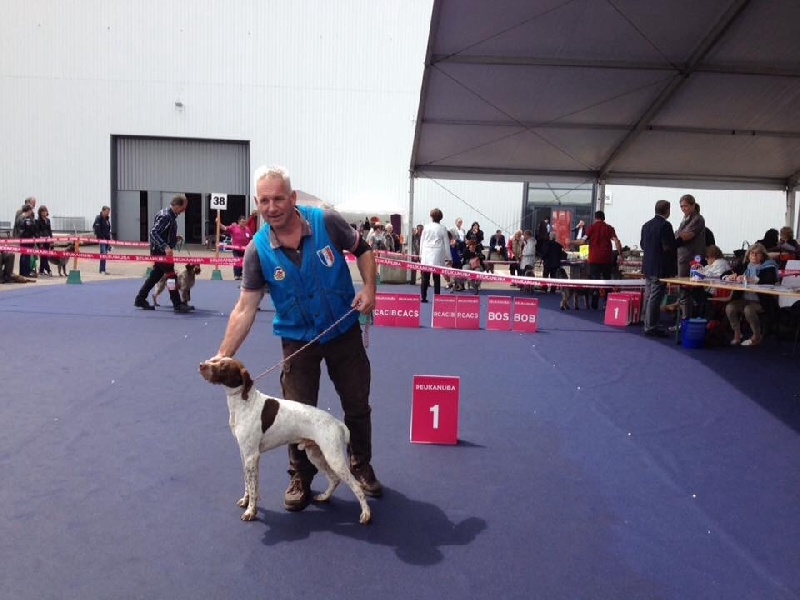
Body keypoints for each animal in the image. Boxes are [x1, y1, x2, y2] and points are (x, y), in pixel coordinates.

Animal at [200, 356, 376, 524]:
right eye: (216, 360)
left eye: (223, 366)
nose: (201, 365)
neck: (244, 402)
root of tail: (337, 423)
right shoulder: (246, 454)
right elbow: (250, 484)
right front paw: (247, 501)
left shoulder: (251, 456)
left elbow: (252, 485)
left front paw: (250, 512)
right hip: (316, 454)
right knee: (334, 479)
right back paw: (324, 497)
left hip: (334, 458)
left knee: (356, 486)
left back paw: (366, 514)